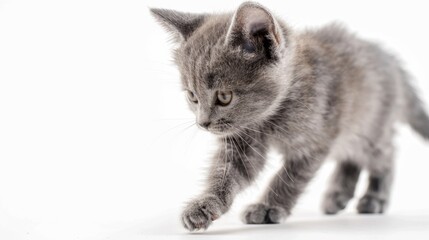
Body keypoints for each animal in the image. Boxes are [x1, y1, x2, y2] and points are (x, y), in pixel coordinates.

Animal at [149, 0, 426, 232]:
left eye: (224, 97)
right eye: (192, 96)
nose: (203, 123)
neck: (271, 115)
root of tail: (392, 62)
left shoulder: (314, 141)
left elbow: (288, 178)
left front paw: (267, 208)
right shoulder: (242, 140)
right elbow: (227, 172)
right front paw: (205, 206)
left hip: (369, 126)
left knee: (384, 154)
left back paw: (374, 198)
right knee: (351, 157)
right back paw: (337, 195)